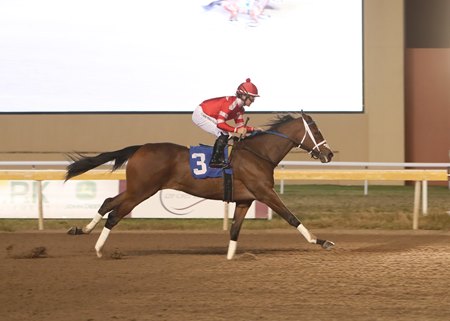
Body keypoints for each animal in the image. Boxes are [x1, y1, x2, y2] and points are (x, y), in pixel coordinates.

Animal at [66, 112, 334, 258]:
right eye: (316, 131)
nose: (329, 154)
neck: (259, 154)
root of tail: (140, 148)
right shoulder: (264, 193)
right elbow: (291, 217)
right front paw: (320, 241)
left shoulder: (245, 200)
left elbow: (234, 230)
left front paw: (230, 258)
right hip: (141, 190)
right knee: (114, 214)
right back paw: (99, 249)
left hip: (136, 189)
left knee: (107, 202)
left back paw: (82, 230)